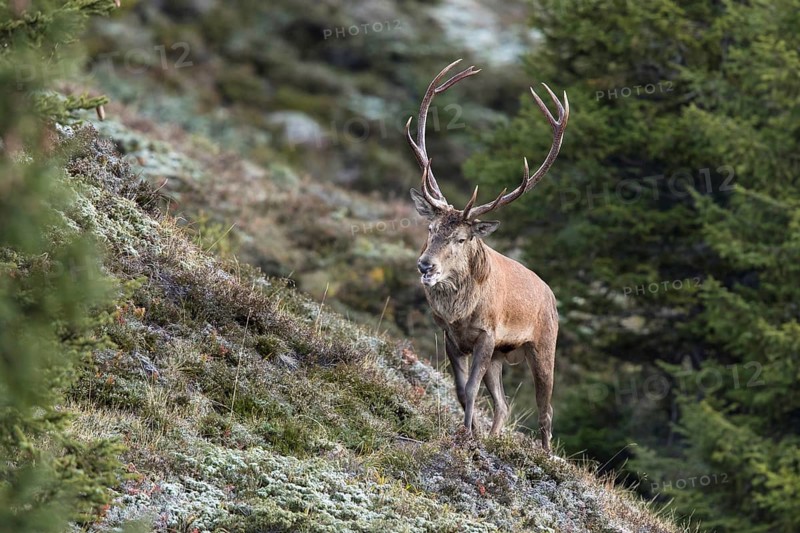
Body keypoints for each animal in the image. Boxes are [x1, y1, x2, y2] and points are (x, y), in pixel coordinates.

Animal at [405, 60, 569, 452]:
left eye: (462, 238)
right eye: (430, 228)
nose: (425, 265)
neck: (462, 312)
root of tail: (552, 295)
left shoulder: (487, 335)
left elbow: (470, 387)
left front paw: (466, 435)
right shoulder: (451, 336)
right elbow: (461, 389)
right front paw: (469, 432)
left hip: (543, 345)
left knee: (546, 410)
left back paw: (545, 454)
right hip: (500, 356)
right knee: (504, 405)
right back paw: (494, 438)